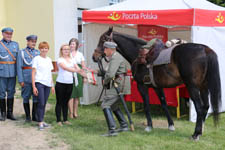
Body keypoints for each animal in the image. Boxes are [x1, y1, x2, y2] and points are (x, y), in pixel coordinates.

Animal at [92, 27, 221, 141]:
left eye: (103, 40)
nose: (94, 56)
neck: (138, 54)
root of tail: (205, 50)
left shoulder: (142, 86)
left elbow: (146, 105)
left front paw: (149, 126)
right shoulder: (157, 87)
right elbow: (164, 104)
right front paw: (171, 125)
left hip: (192, 87)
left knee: (199, 108)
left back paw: (196, 134)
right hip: (203, 87)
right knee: (206, 106)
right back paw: (201, 131)